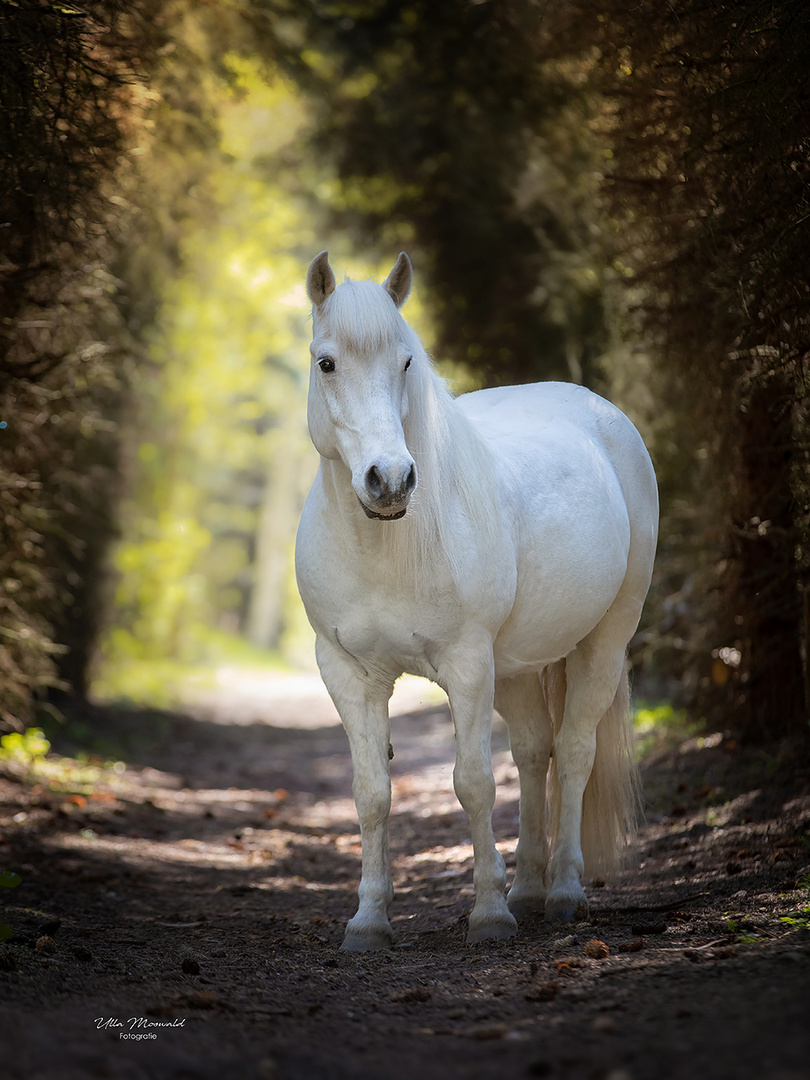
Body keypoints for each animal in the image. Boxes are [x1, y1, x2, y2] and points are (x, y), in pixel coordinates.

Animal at [298, 248, 660, 950]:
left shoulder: (467, 666)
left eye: (406, 362)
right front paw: (369, 921)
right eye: (326, 362)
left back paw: (563, 893)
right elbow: (371, 793)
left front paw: (488, 915)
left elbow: (472, 784)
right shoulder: (348, 673)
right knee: (535, 753)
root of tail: (604, 415)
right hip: (516, 668)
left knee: (574, 752)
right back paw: (528, 888)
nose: (389, 480)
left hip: (604, 640)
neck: (386, 548)